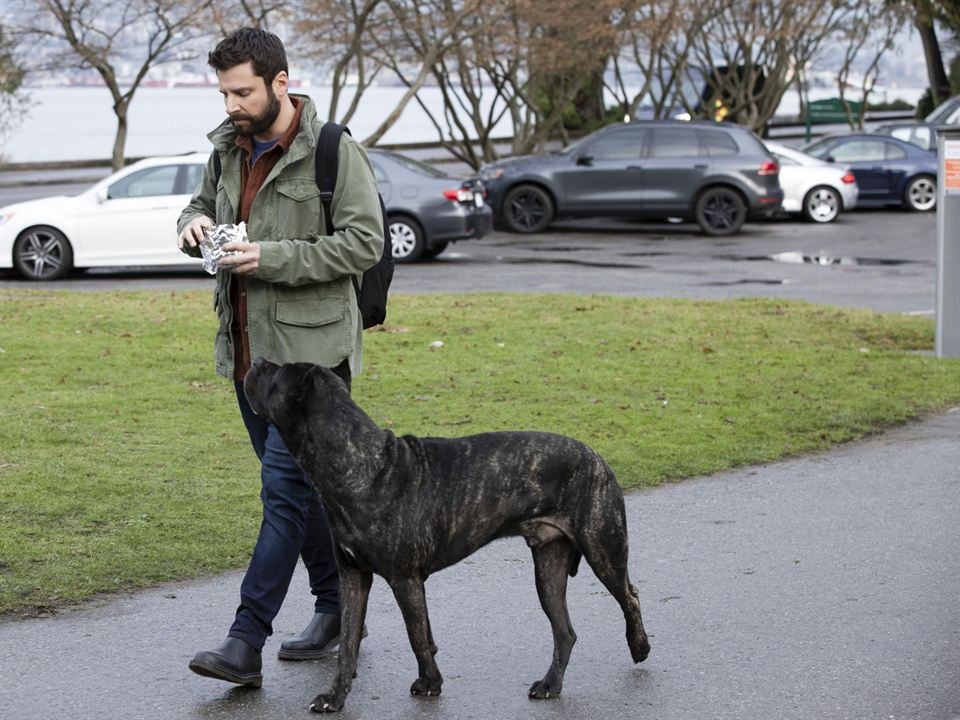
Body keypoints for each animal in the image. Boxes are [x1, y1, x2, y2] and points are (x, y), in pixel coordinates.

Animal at [244, 358, 648, 712]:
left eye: (277, 373)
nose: (256, 361)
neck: (362, 466)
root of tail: (597, 457)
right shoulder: (354, 577)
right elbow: (348, 645)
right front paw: (335, 698)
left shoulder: (405, 578)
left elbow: (417, 635)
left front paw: (430, 682)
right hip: (549, 569)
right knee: (565, 631)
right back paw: (550, 685)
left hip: (602, 549)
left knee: (629, 595)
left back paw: (639, 647)